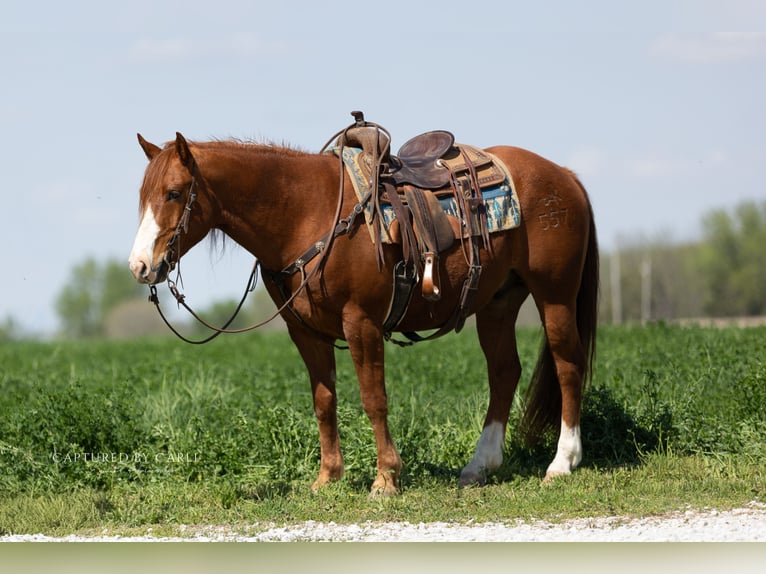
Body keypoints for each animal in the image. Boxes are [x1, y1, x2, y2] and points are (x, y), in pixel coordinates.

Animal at [128, 125, 599, 496]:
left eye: (173, 193)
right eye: (143, 196)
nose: (140, 266)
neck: (308, 213)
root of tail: (566, 176)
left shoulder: (362, 322)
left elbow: (374, 399)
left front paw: (386, 478)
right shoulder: (306, 332)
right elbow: (324, 401)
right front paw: (327, 478)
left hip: (554, 294)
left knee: (567, 364)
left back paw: (563, 462)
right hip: (498, 302)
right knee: (504, 373)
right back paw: (479, 466)